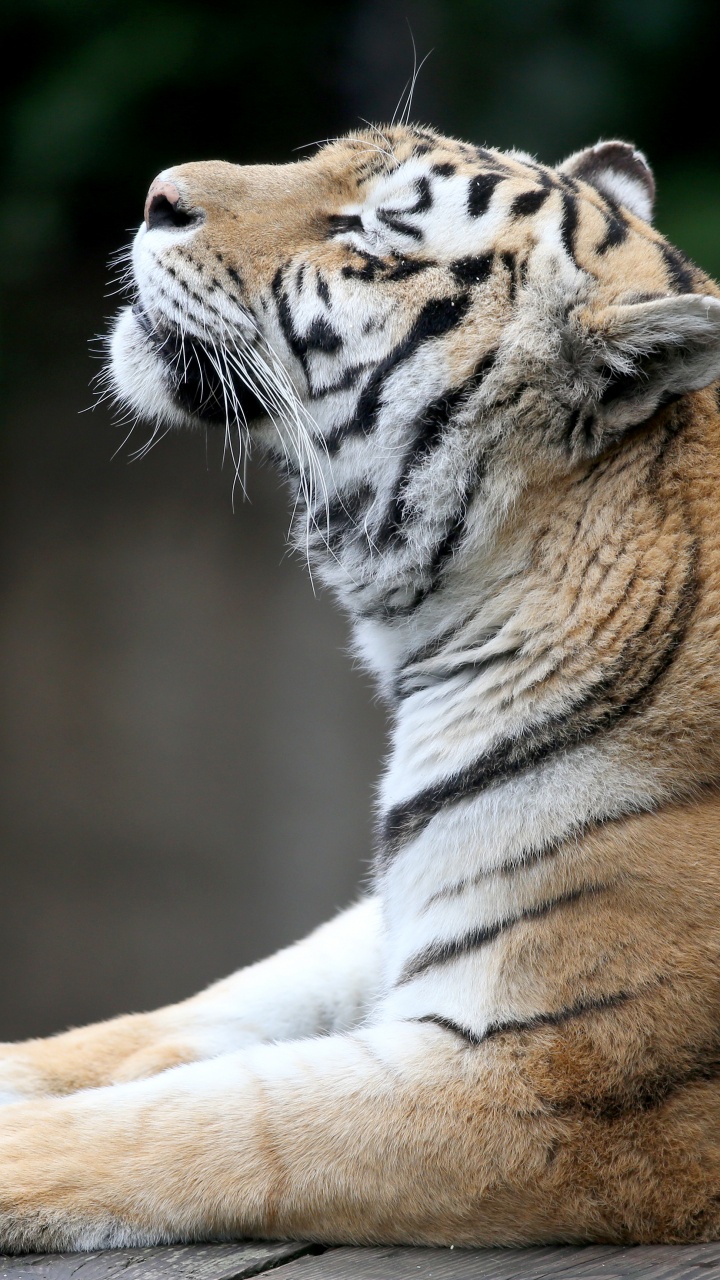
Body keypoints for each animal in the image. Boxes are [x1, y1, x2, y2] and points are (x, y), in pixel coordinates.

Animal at [1, 122, 720, 1254]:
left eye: (372, 236)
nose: (157, 195)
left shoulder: (547, 1076)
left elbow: (221, 1119)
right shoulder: (392, 918)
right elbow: (182, 1020)